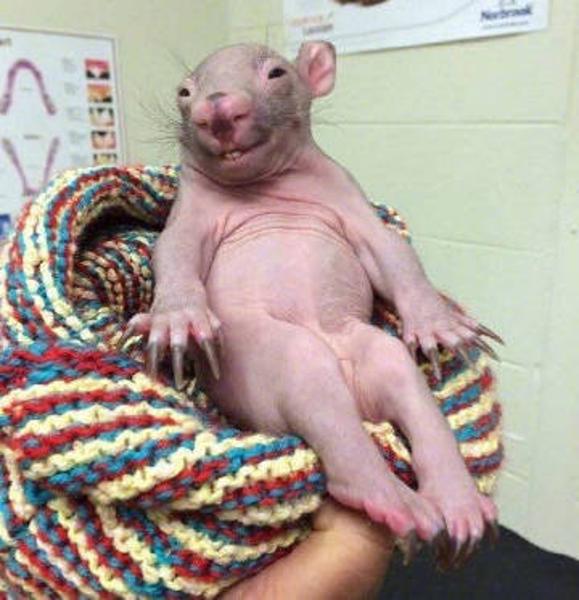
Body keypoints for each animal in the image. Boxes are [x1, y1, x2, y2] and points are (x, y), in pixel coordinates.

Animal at [126, 41, 502, 564]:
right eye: (184, 92)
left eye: (276, 73)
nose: (216, 110)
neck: (267, 185)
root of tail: (355, 394)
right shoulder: (191, 213)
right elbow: (174, 252)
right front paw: (178, 317)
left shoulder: (347, 199)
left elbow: (392, 252)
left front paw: (436, 321)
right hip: (263, 360)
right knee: (307, 374)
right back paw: (389, 496)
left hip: (368, 348)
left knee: (401, 374)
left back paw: (457, 500)